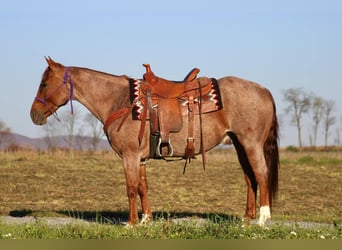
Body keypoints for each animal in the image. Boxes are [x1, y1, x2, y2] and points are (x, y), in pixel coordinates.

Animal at [30, 57, 280, 227]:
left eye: (44, 84)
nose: (34, 115)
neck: (120, 100)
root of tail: (263, 89)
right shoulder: (140, 159)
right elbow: (143, 187)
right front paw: (145, 219)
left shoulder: (130, 156)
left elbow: (131, 188)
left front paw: (131, 223)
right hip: (239, 145)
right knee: (250, 178)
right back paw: (246, 218)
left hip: (251, 144)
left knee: (261, 174)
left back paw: (262, 218)